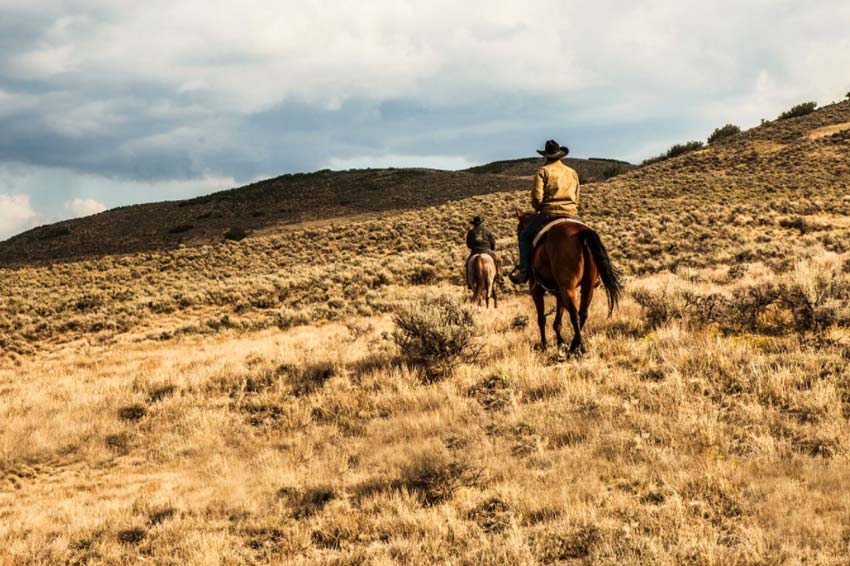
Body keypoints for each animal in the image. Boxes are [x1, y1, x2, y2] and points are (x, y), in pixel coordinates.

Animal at [512, 211, 620, 358]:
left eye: (519, 231)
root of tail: (581, 233)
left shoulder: (536, 289)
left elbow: (541, 319)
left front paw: (544, 346)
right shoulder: (559, 293)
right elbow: (558, 321)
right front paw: (560, 343)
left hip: (567, 288)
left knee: (574, 314)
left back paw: (578, 347)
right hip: (587, 286)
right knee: (582, 313)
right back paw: (575, 345)